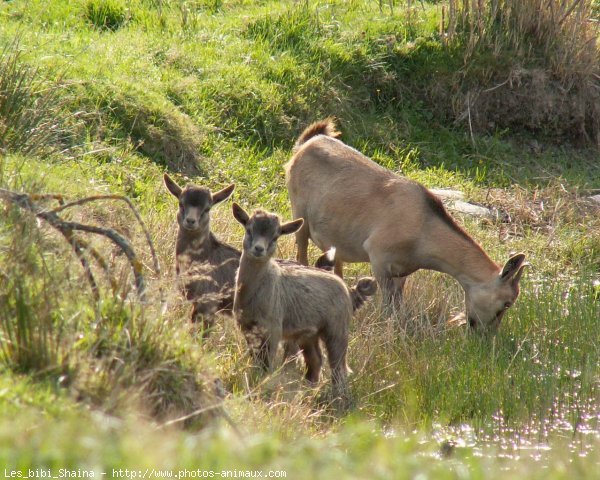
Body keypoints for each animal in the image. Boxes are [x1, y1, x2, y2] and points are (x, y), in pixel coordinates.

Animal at [230, 204, 376, 400]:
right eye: (249, 229)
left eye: (275, 236)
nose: (258, 249)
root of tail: (348, 288)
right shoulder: (248, 328)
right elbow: (256, 361)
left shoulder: (273, 329)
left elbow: (266, 364)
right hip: (309, 333)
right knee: (315, 360)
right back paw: (309, 391)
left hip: (337, 329)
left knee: (339, 367)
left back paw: (338, 398)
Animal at [286, 118, 524, 332]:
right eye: (506, 303)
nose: (485, 334)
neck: (424, 230)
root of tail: (307, 143)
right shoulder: (378, 257)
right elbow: (387, 305)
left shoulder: (403, 271)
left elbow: (398, 305)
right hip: (300, 215)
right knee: (301, 253)